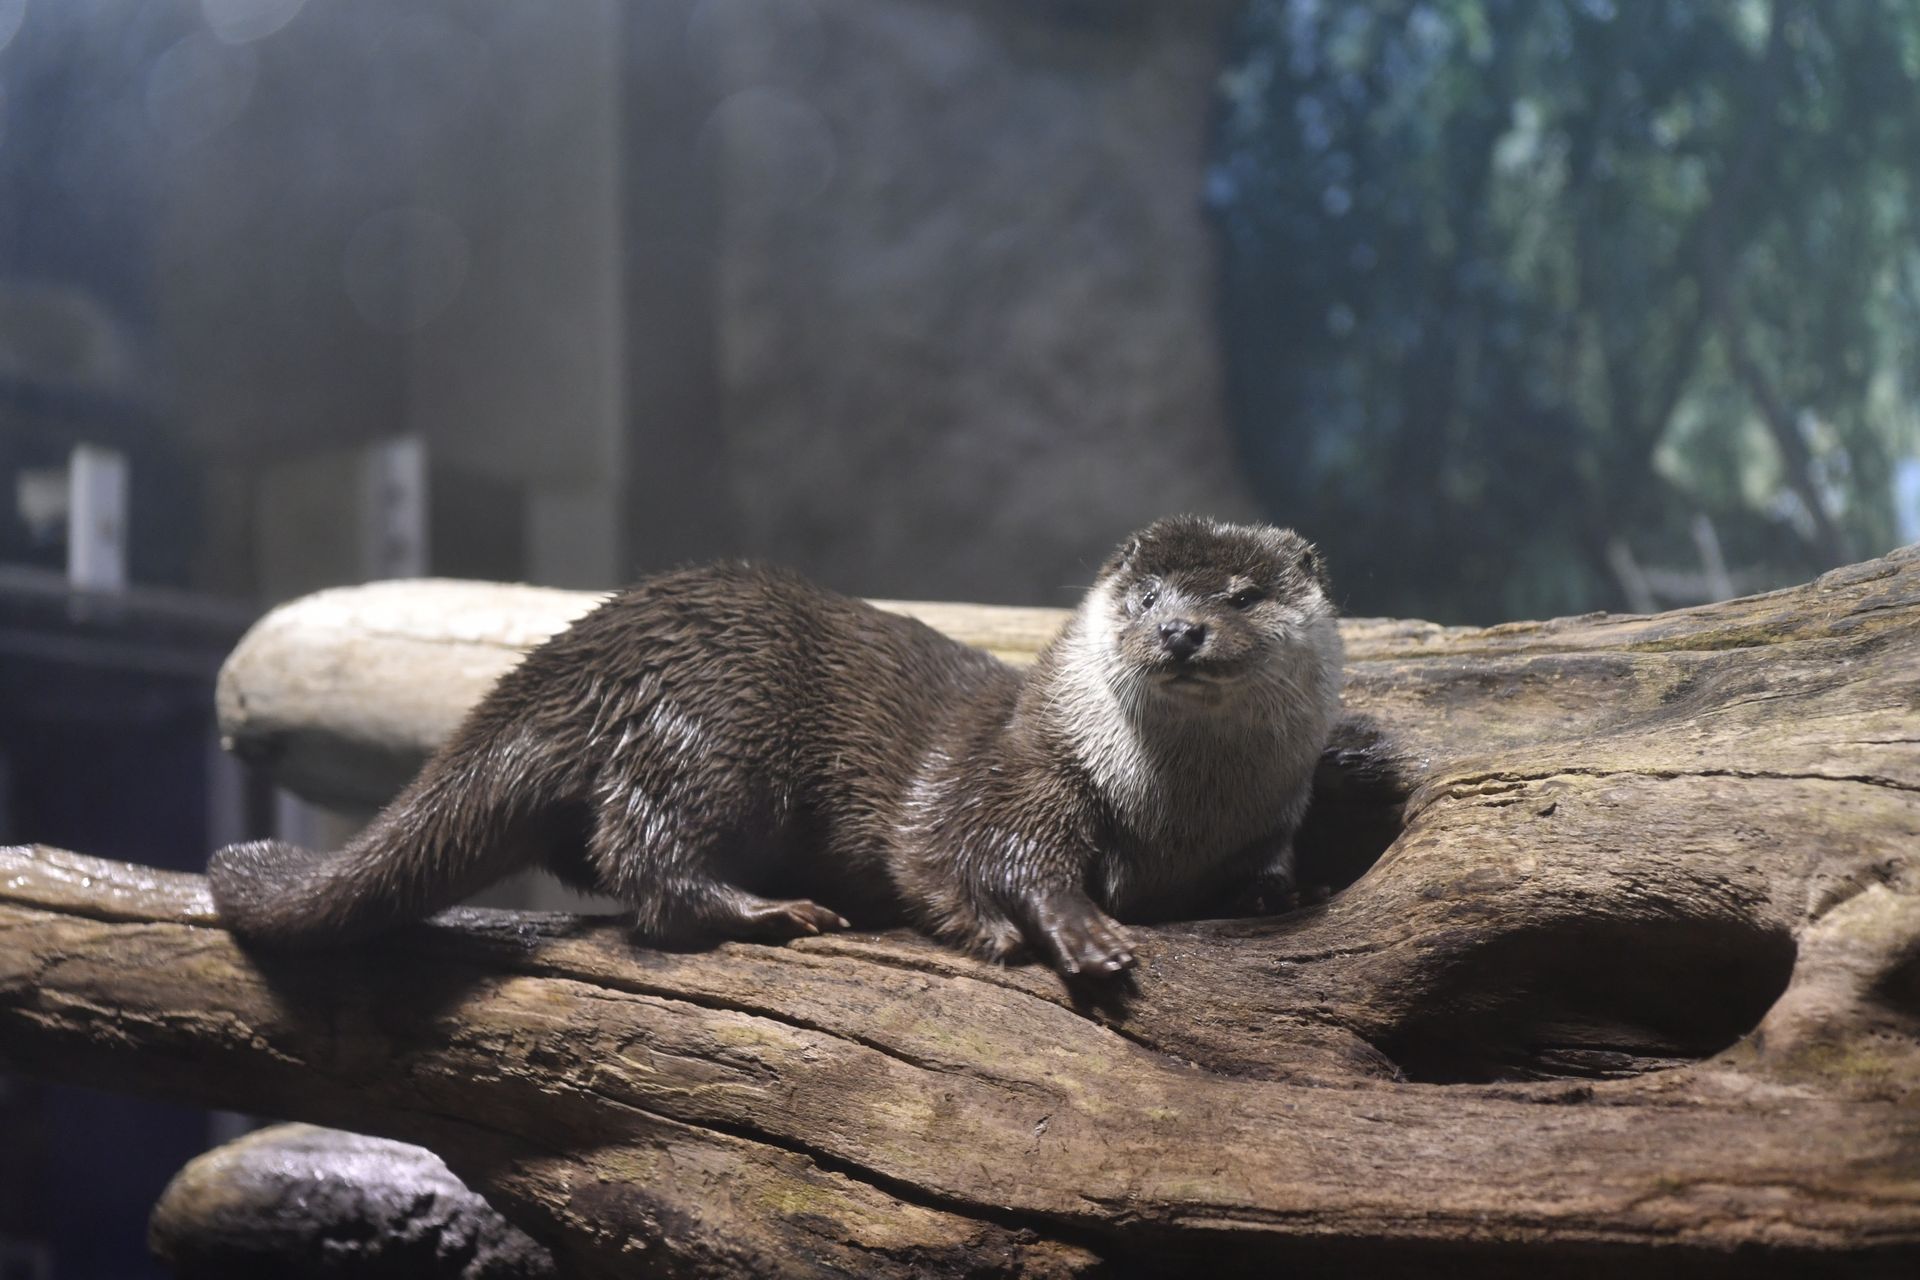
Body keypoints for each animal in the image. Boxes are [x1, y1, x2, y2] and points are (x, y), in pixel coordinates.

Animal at [209, 516, 1343, 978]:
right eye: (1145, 594)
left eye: (1242, 594)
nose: (1181, 630)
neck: (1179, 813)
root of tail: (600, 638)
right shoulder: (1023, 770)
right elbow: (993, 856)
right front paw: (1074, 929)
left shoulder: (1275, 807)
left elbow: (1269, 863)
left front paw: (1275, 890)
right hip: (718, 729)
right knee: (647, 860)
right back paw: (773, 911)